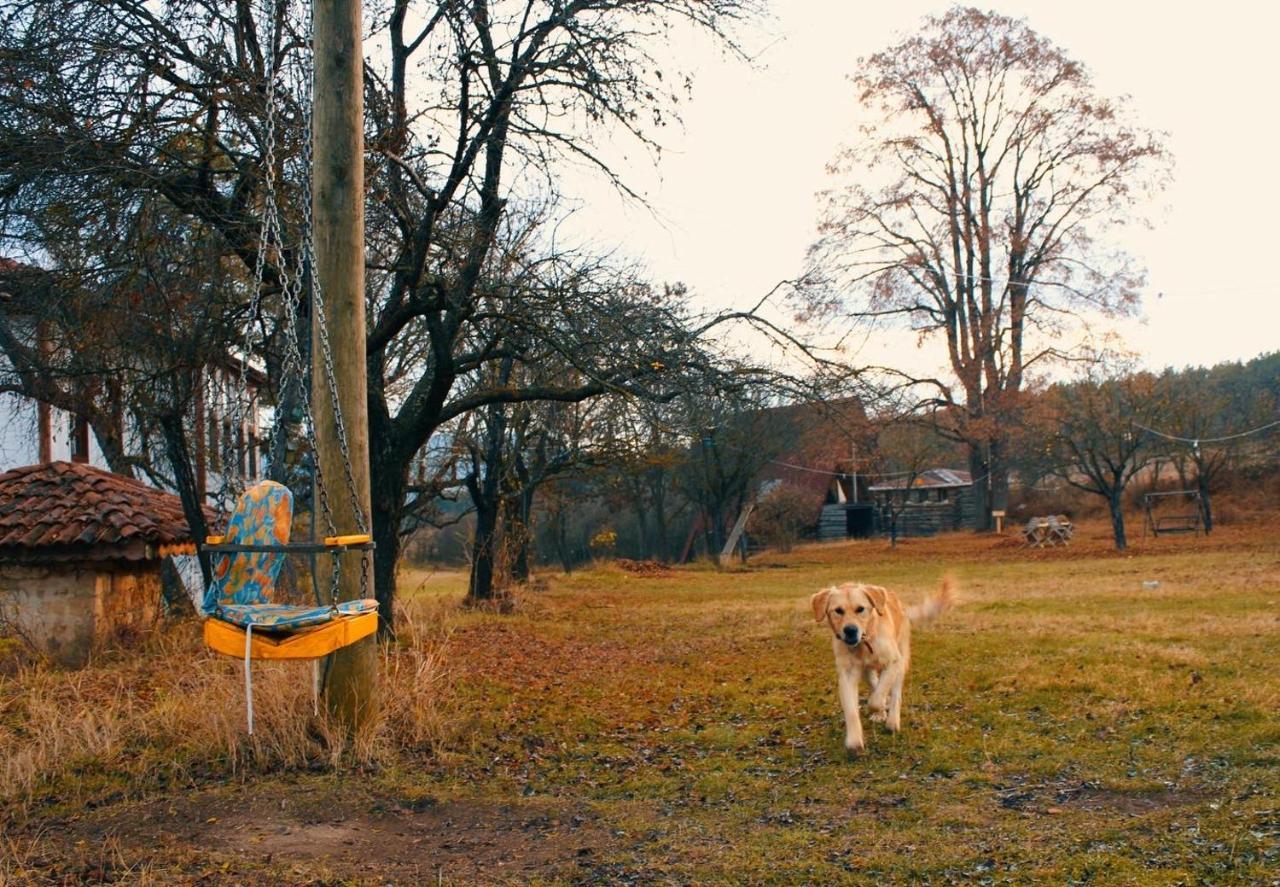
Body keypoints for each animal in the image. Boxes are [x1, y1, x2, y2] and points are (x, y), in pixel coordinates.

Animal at [803, 578, 957, 752]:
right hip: (867, 672)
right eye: (838, 611)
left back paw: (892, 721)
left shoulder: (893, 662)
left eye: (860, 609)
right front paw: (854, 740)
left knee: (895, 693)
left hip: (901, 661)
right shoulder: (847, 674)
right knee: (875, 683)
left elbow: (876, 699)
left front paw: (880, 707)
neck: (865, 642)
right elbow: (851, 709)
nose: (850, 630)